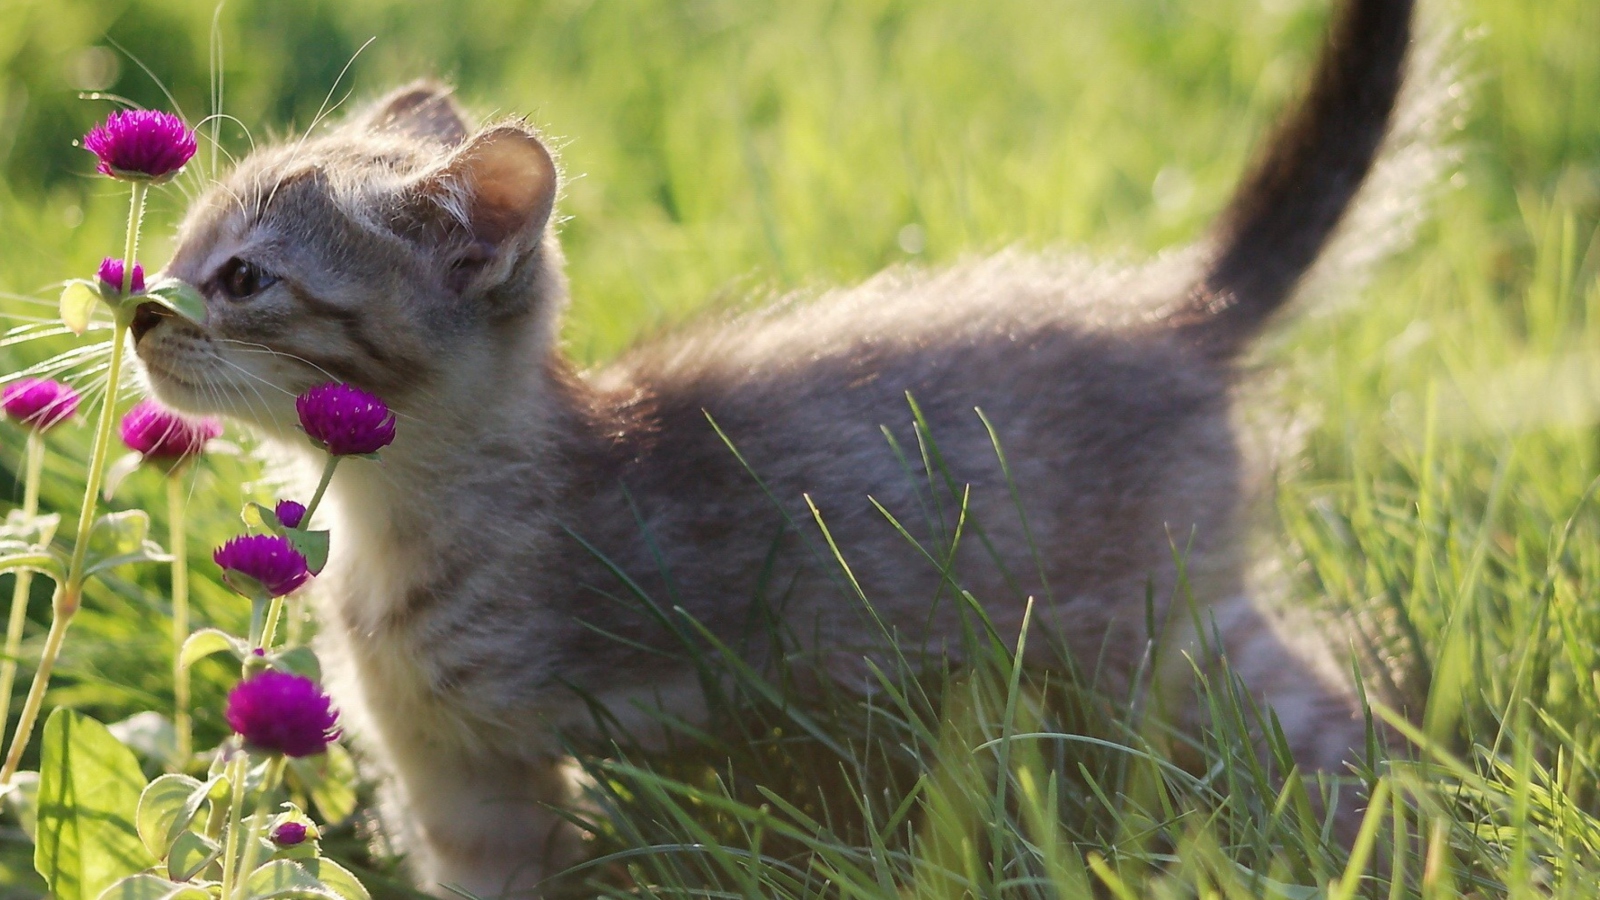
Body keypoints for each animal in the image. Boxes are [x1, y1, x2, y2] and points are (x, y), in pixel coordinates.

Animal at [134, 1, 1414, 890]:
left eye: (242, 279)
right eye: (182, 250)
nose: (140, 307)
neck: (389, 527)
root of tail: (1179, 313)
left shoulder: (506, 764)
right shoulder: (458, 779)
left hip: (1156, 636)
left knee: (1335, 714)